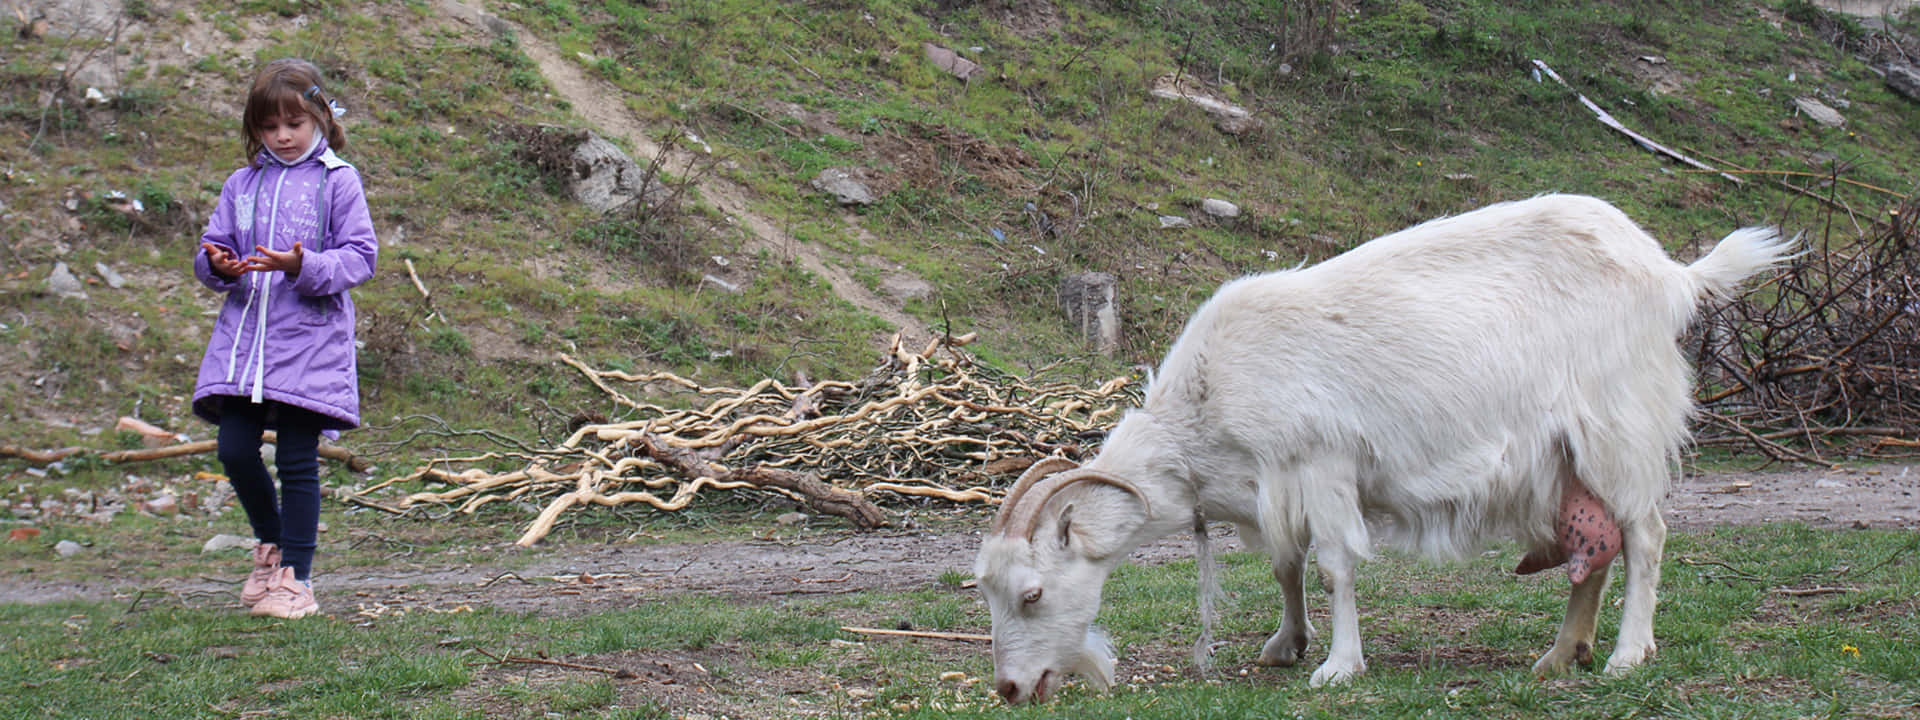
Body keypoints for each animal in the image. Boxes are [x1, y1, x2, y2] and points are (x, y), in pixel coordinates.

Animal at [972, 194, 1795, 704]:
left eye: (1032, 593)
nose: (1009, 689)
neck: (1205, 405)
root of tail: (1672, 273)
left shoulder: (1322, 464)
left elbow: (1335, 564)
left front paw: (1339, 666)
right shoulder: (1274, 488)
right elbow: (1286, 565)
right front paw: (1285, 643)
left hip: (1618, 424)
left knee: (1645, 534)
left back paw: (1627, 654)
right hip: (1565, 457)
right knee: (1593, 543)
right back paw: (1563, 655)